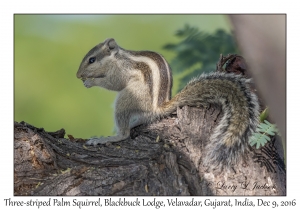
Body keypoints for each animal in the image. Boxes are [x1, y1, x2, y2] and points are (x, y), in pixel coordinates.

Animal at [77, 38, 260, 171]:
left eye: (92, 60)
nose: (78, 75)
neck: (117, 59)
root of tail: (158, 108)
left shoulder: (121, 72)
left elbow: (113, 83)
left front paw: (90, 81)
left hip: (127, 98)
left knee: (124, 133)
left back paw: (107, 138)